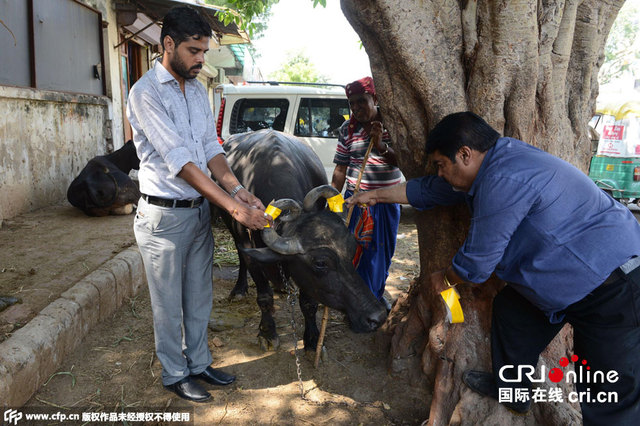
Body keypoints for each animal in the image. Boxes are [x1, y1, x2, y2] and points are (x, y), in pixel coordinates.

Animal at [220, 130, 388, 352]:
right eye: (320, 263)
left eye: (352, 251)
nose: (378, 316)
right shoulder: (249, 246)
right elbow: (263, 295)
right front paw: (267, 332)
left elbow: (309, 303)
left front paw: (313, 339)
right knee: (240, 254)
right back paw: (239, 289)